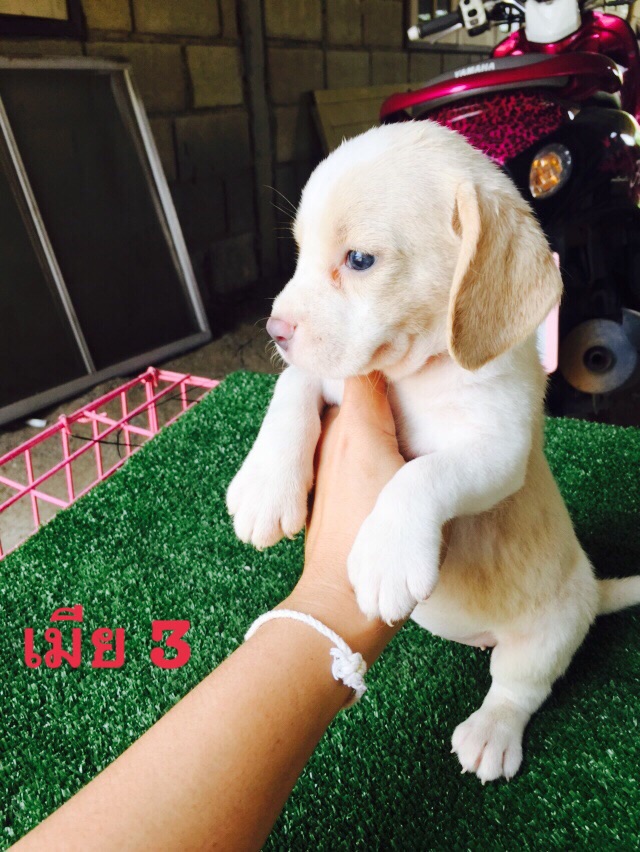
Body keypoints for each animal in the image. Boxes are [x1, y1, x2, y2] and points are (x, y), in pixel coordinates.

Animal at [227, 121, 640, 782]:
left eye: (359, 260)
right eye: (299, 251)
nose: (274, 331)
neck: (414, 376)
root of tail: (594, 590)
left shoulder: (499, 447)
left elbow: (422, 475)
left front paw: (387, 553)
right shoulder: (336, 381)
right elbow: (293, 385)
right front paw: (266, 486)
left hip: (548, 635)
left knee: (518, 687)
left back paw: (492, 733)